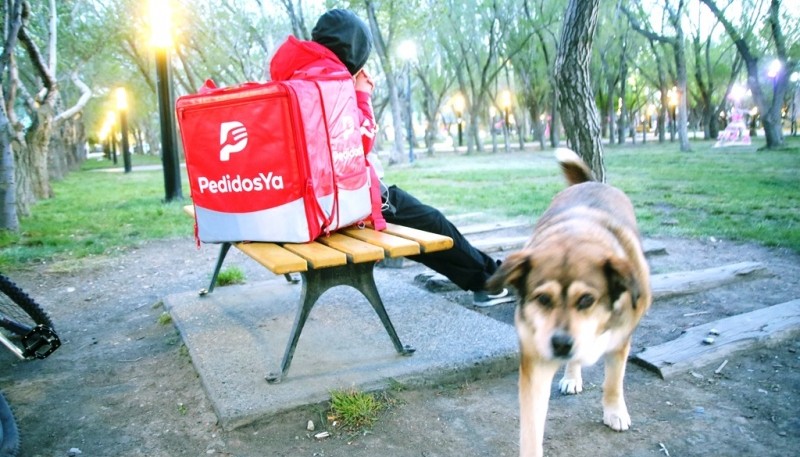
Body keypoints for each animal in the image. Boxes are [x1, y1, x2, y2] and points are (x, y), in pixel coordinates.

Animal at [488, 149, 648, 456]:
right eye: (543, 298)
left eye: (587, 299)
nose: (561, 343)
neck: (576, 234)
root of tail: (590, 183)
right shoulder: (536, 359)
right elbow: (531, 426)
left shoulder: (621, 338)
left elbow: (614, 380)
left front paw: (614, 411)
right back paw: (572, 376)